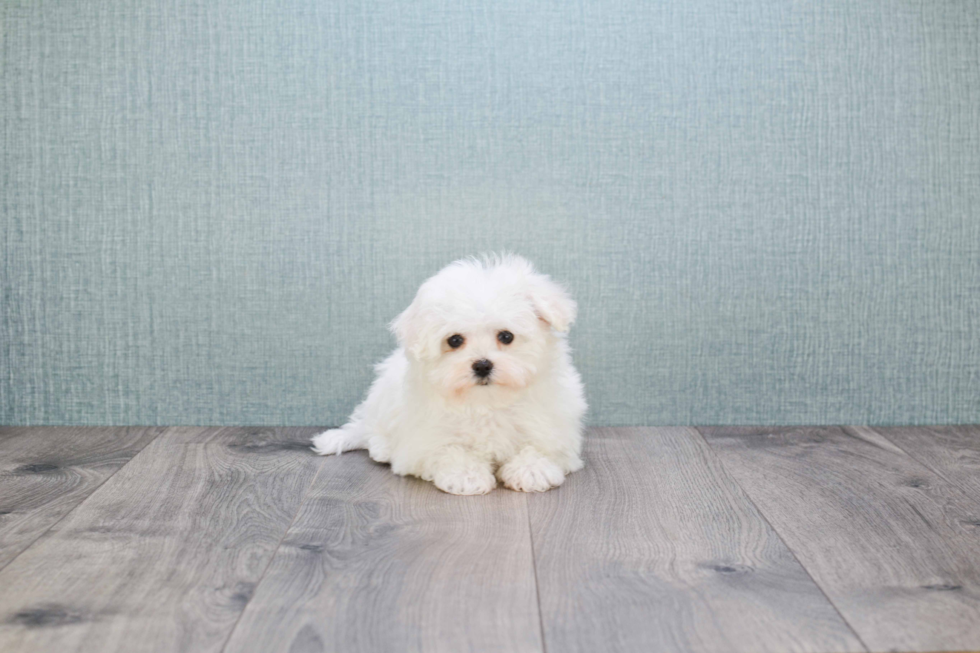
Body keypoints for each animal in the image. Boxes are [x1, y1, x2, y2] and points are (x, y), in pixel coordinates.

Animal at [314, 255, 584, 494]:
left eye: (506, 336)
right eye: (455, 340)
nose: (482, 365)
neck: (487, 403)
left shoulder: (554, 425)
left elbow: (540, 446)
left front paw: (531, 469)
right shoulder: (425, 438)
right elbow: (449, 450)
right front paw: (466, 475)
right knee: (373, 429)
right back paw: (382, 446)